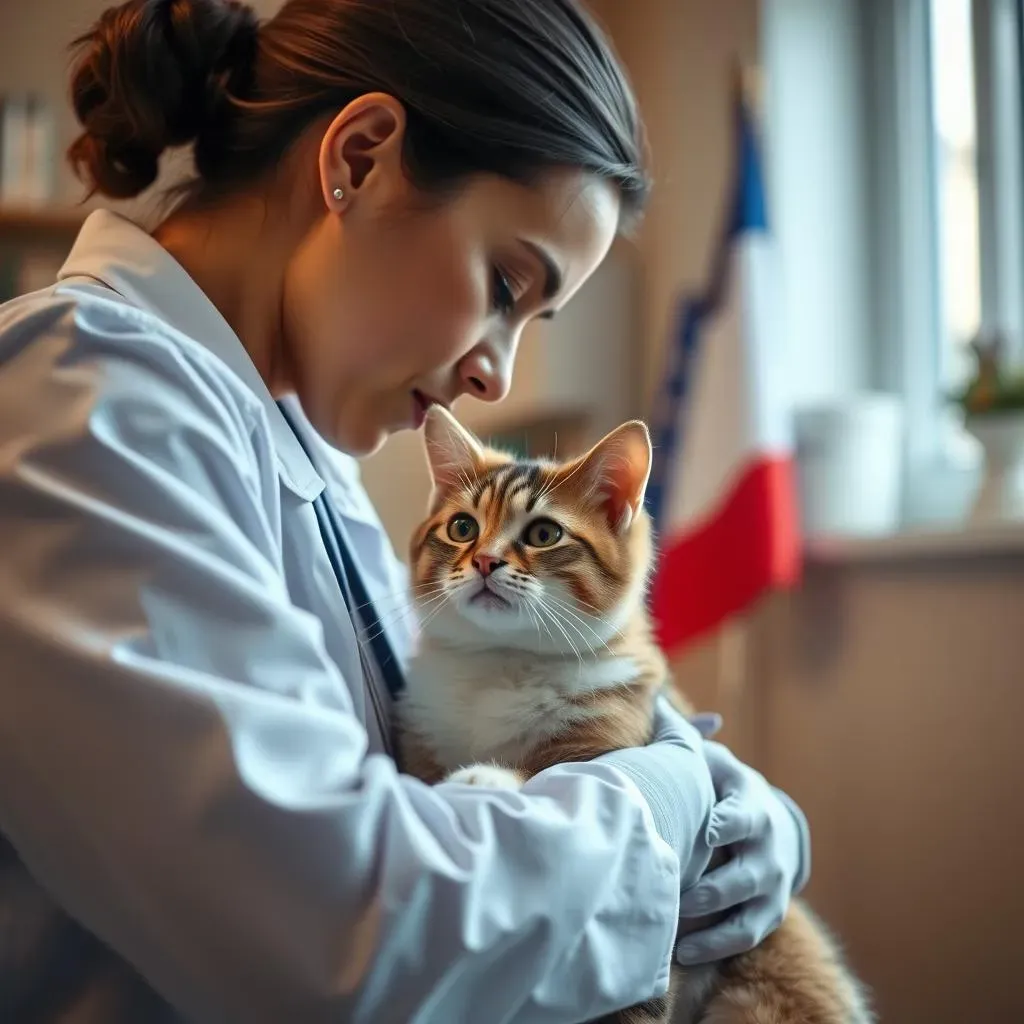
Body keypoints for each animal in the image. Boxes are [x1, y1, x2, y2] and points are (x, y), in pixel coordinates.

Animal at [395, 405, 868, 1024]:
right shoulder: (422, 733)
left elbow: (561, 774)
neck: (504, 662)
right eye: (462, 528)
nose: (485, 560)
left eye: (544, 534)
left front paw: (487, 777)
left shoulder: (618, 730)